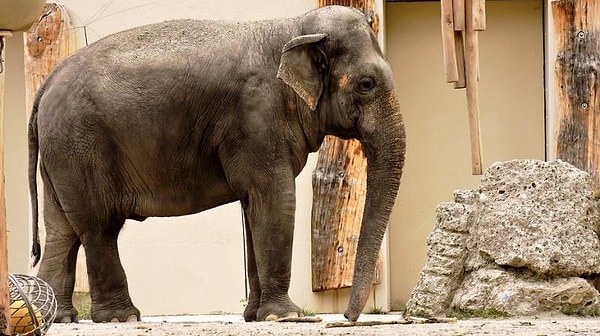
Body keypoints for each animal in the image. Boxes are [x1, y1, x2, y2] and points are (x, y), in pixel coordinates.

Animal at [27, 5, 404, 324]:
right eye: (366, 84)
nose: (347, 318)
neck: (295, 27)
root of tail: (47, 83)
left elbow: (255, 206)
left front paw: (256, 316)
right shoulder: (256, 116)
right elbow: (276, 199)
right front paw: (285, 316)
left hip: (61, 155)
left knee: (62, 230)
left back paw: (57, 318)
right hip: (81, 146)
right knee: (98, 226)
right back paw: (122, 318)